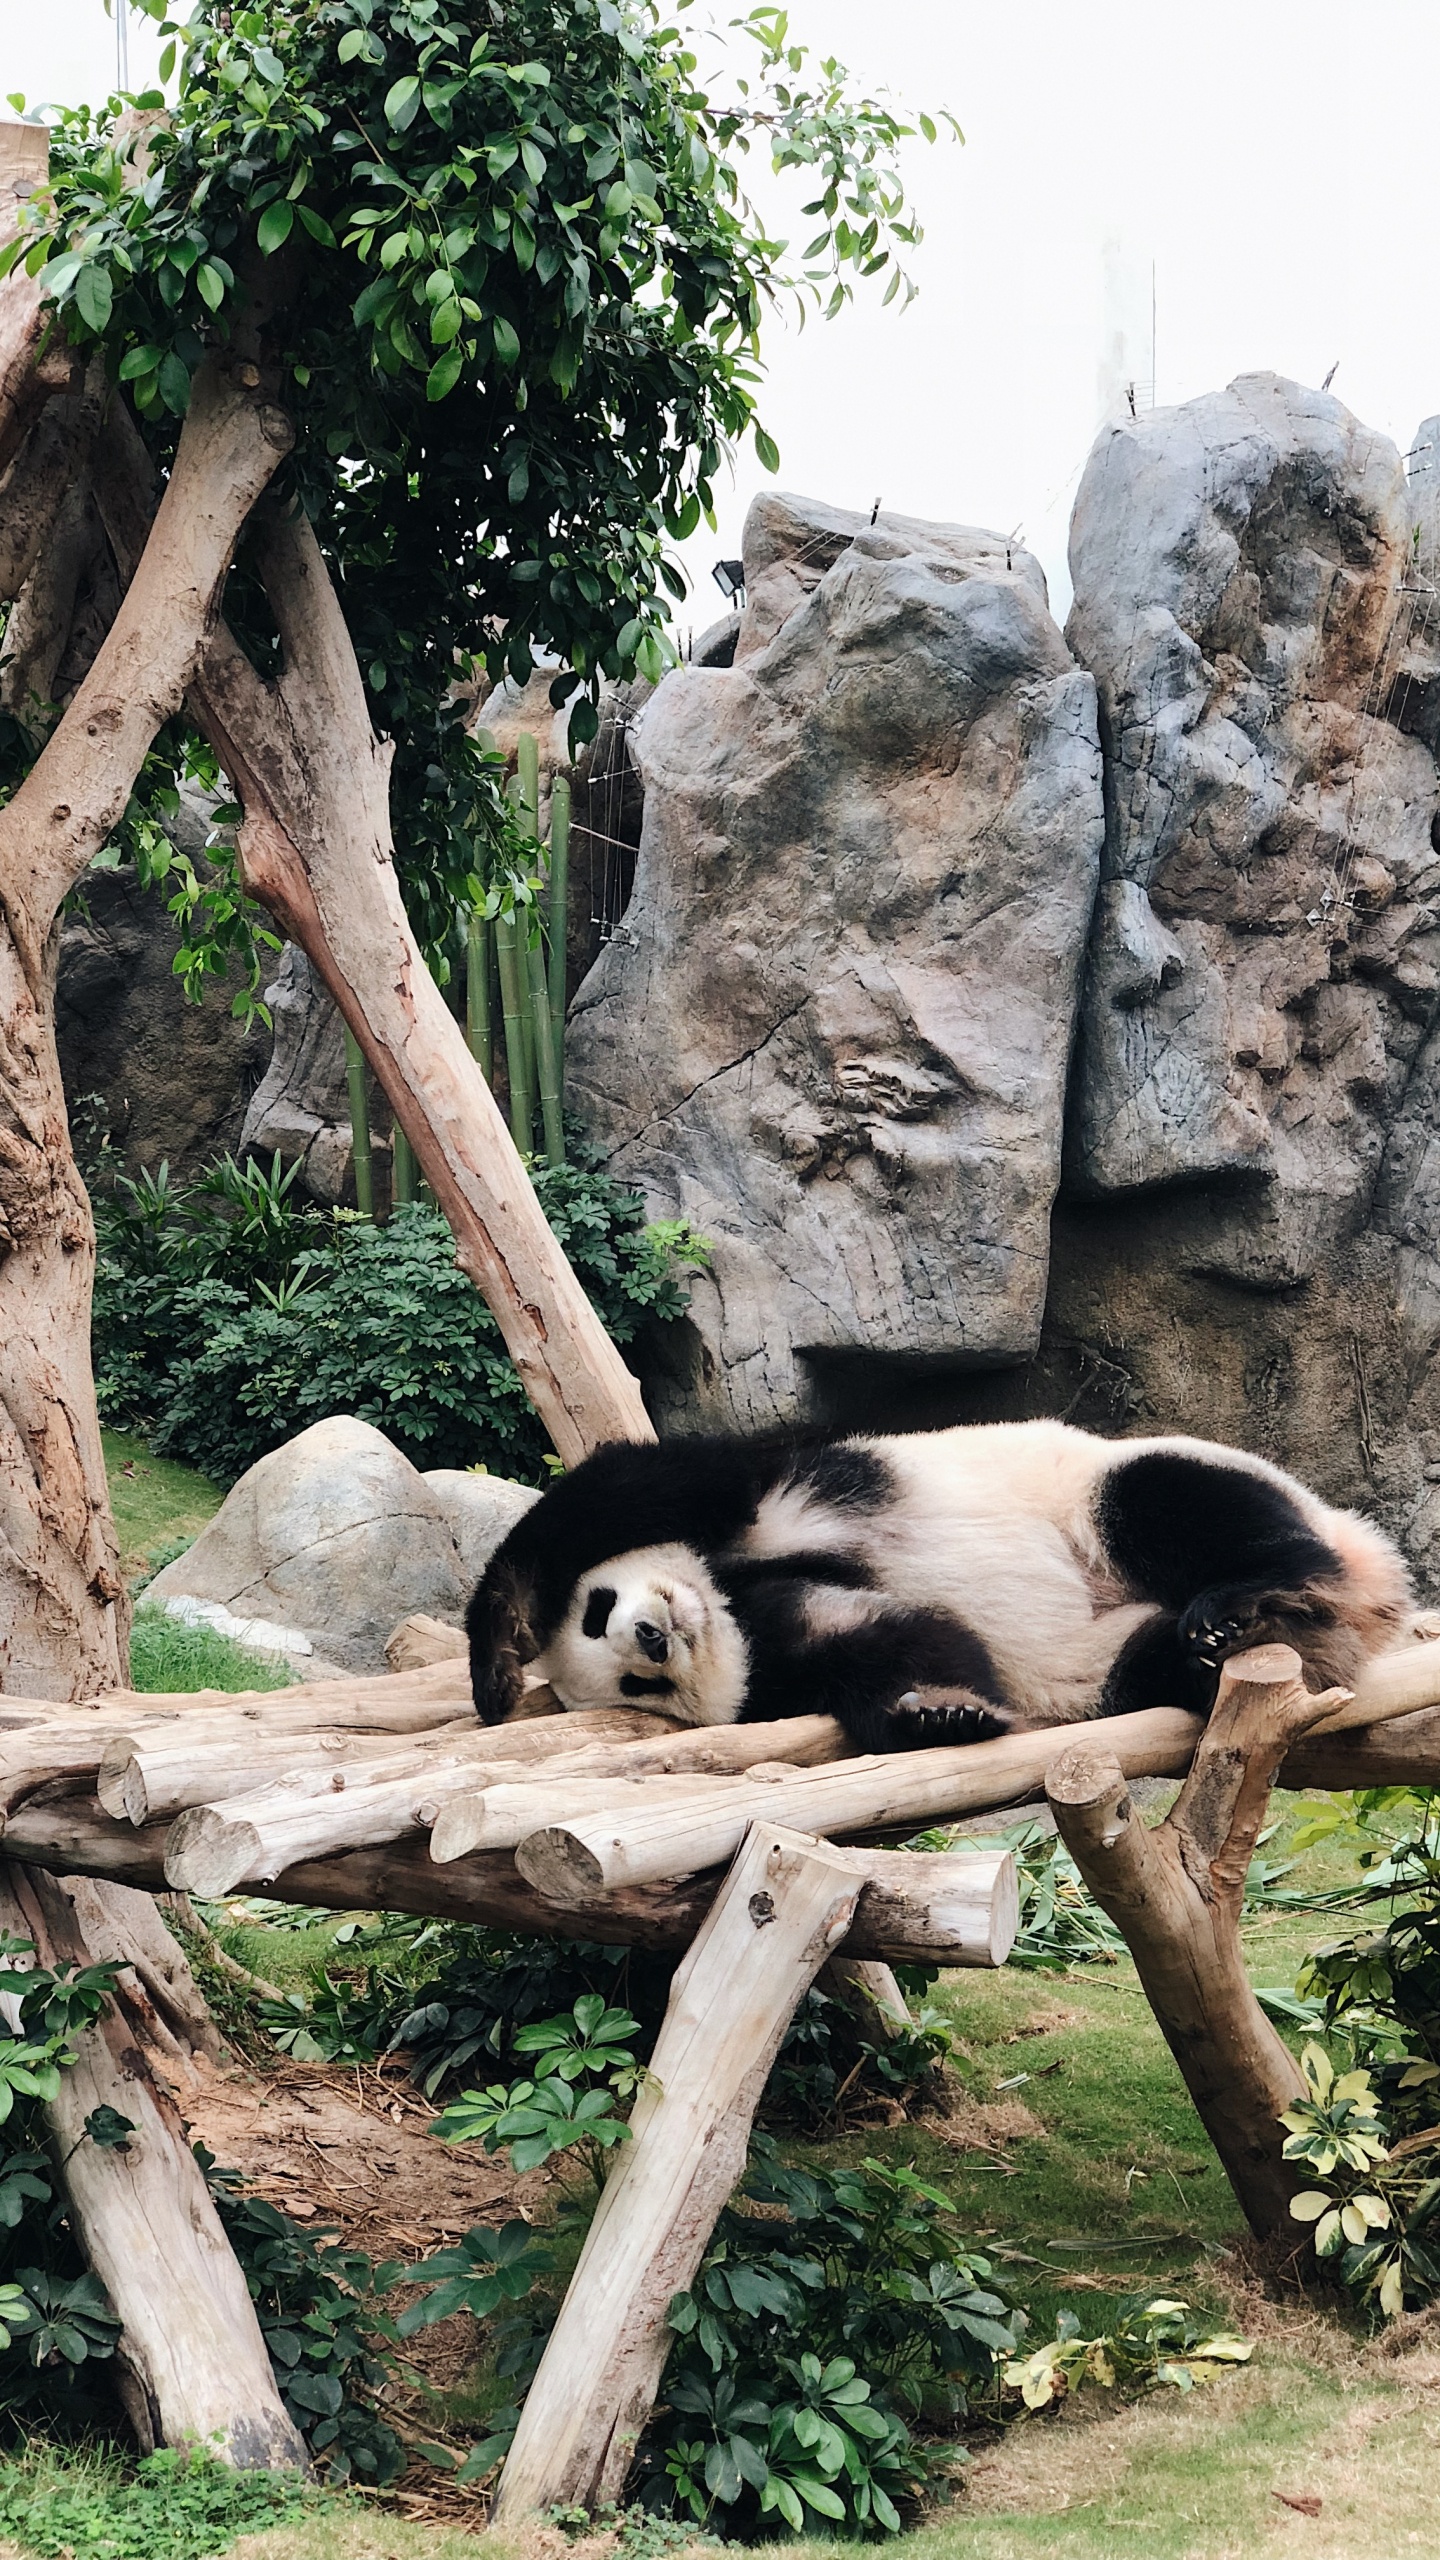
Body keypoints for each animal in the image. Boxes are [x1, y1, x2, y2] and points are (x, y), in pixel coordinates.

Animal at [466, 1419, 1412, 1752]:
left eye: (599, 1611)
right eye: (636, 1687)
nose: (655, 1638)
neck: (724, 1595)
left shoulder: (767, 1495)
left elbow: (633, 1489)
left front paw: (499, 1659)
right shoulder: (776, 1654)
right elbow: (897, 1639)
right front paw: (941, 1714)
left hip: (1102, 1486)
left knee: (1168, 1500)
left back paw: (1250, 1592)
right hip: (1113, 1656)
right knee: (1149, 1663)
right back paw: (1219, 1653)